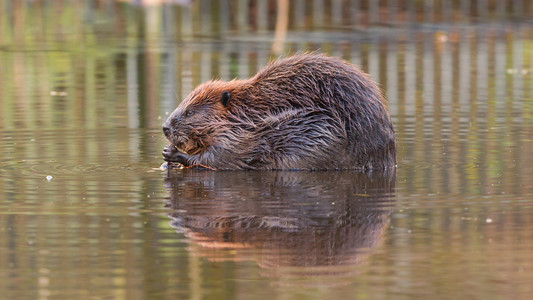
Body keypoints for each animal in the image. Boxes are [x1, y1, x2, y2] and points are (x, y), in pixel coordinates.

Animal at [162, 53, 394, 170]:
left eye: (190, 112)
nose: (165, 127)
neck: (249, 113)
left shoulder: (241, 138)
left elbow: (217, 158)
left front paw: (173, 153)